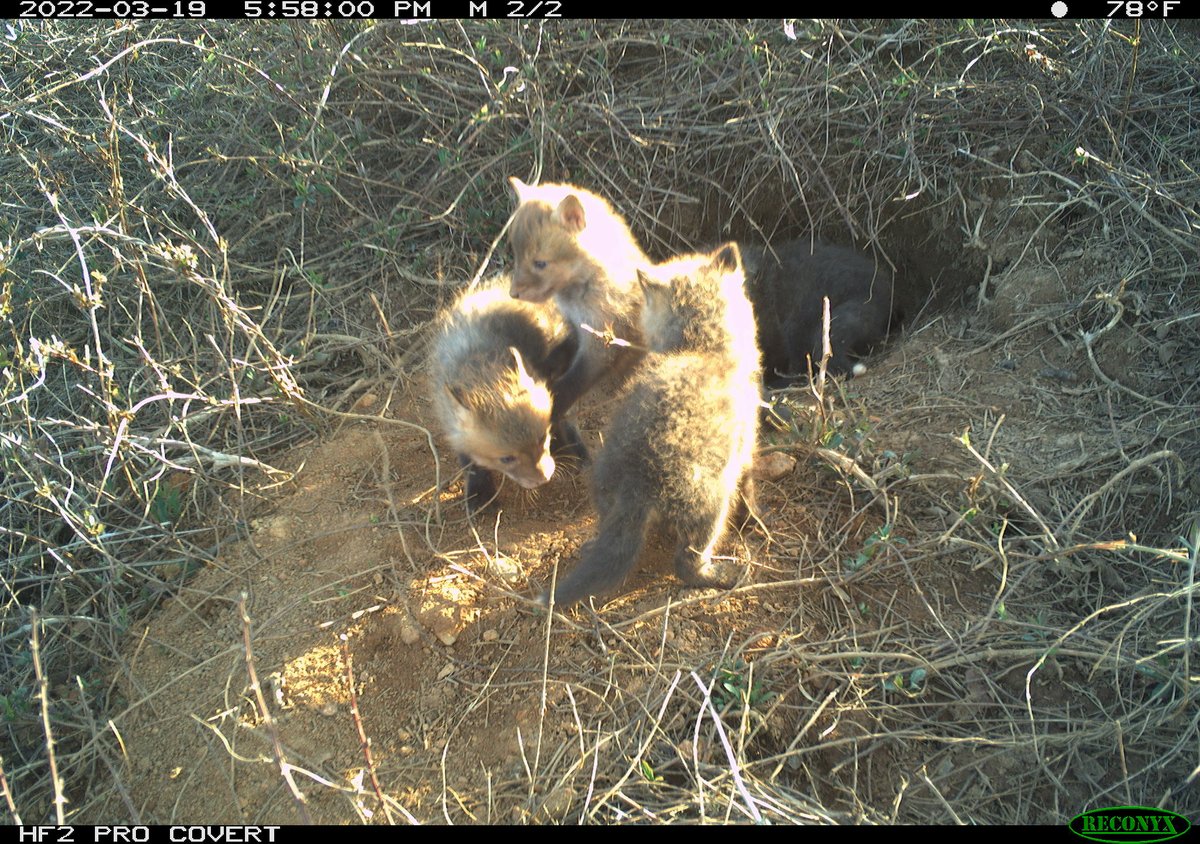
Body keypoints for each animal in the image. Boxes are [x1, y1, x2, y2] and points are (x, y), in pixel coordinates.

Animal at [429, 277, 584, 515]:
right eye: (507, 458)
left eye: (542, 438)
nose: (544, 478)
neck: (481, 364)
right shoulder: (451, 424)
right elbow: (471, 464)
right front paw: (480, 493)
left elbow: (558, 419)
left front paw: (563, 451)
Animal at [507, 177, 653, 426]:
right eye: (516, 255)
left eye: (540, 263)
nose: (512, 294)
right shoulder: (577, 328)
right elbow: (556, 355)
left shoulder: (600, 346)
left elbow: (568, 387)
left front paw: (549, 409)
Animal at [545, 243, 761, 608]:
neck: (700, 347)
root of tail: (639, 479)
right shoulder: (744, 446)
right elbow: (748, 487)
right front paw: (756, 518)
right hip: (712, 500)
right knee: (687, 562)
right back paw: (721, 575)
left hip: (603, 485)